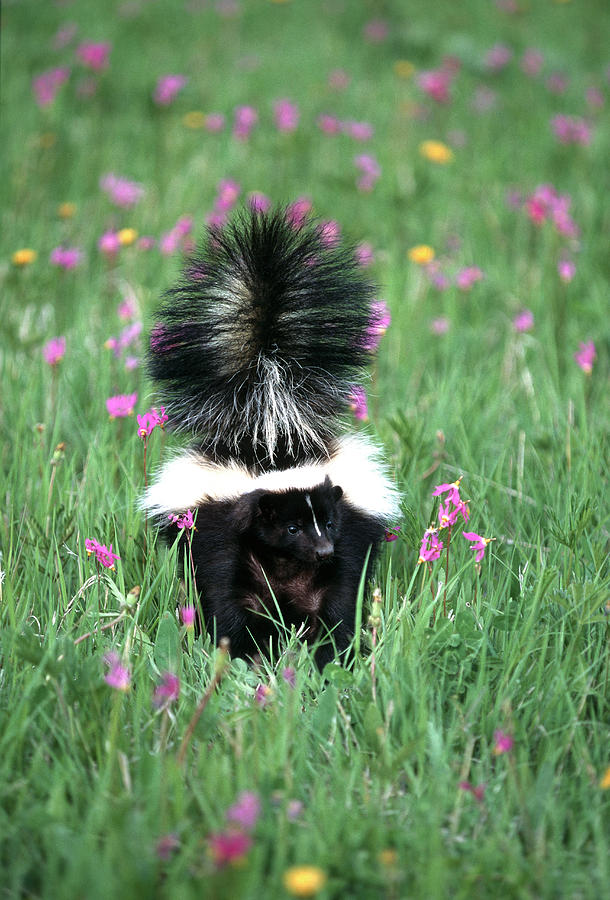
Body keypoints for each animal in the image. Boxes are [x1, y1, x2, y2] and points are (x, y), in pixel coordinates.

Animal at [142, 209, 400, 668]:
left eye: (327, 522)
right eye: (291, 527)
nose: (322, 551)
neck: (284, 564)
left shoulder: (348, 536)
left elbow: (338, 600)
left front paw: (331, 655)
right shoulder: (221, 537)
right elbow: (229, 600)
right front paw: (246, 654)